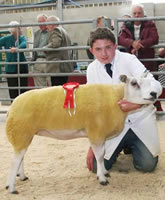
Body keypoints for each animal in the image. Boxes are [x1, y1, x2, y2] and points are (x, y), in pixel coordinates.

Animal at [5, 74, 159, 194]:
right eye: (134, 83)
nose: (154, 94)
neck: (117, 98)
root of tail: (12, 107)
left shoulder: (100, 135)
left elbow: (102, 155)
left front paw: (104, 173)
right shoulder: (96, 132)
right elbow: (100, 156)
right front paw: (102, 179)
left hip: (24, 135)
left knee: (20, 158)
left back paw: (22, 177)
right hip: (20, 133)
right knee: (14, 161)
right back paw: (12, 188)